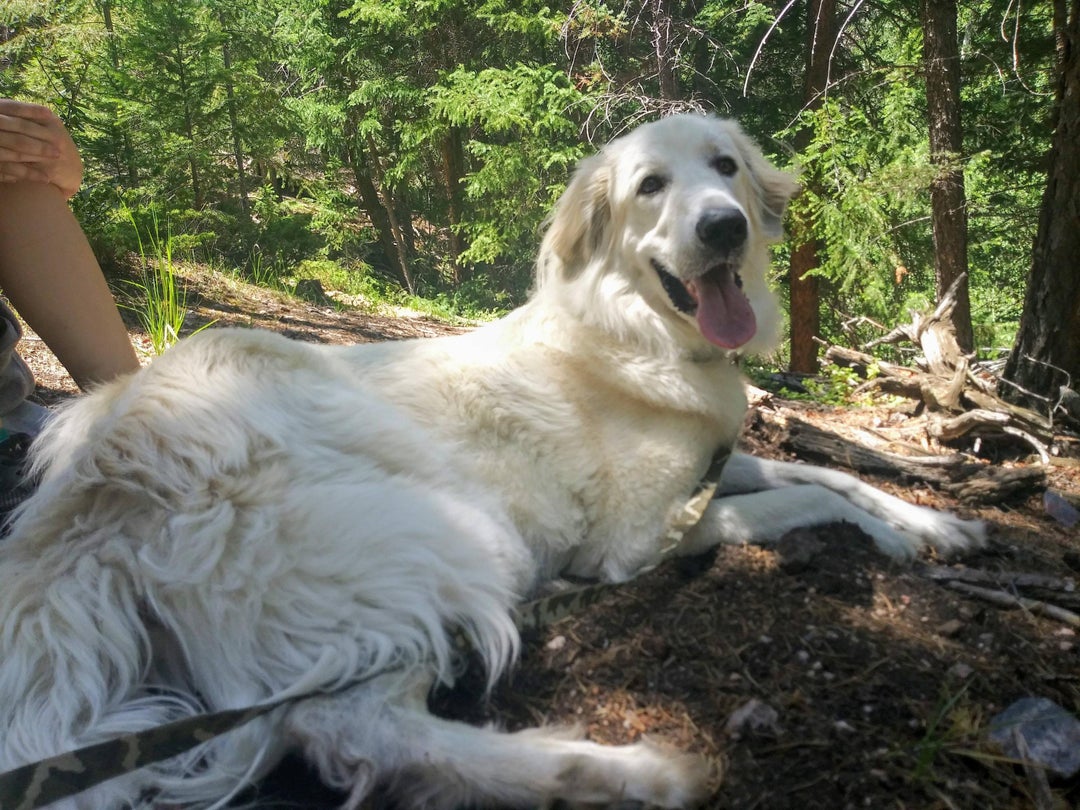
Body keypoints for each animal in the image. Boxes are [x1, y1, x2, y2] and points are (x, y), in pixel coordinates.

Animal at [0, 115, 984, 810]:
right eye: (651, 186)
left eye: (726, 167)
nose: (724, 227)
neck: (641, 335)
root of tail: (100, 490)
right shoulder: (637, 542)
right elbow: (806, 504)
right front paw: (897, 542)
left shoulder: (715, 465)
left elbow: (833, 476)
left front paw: (941, 523)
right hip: (448, 540)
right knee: (354, 730)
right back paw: (624, 774)